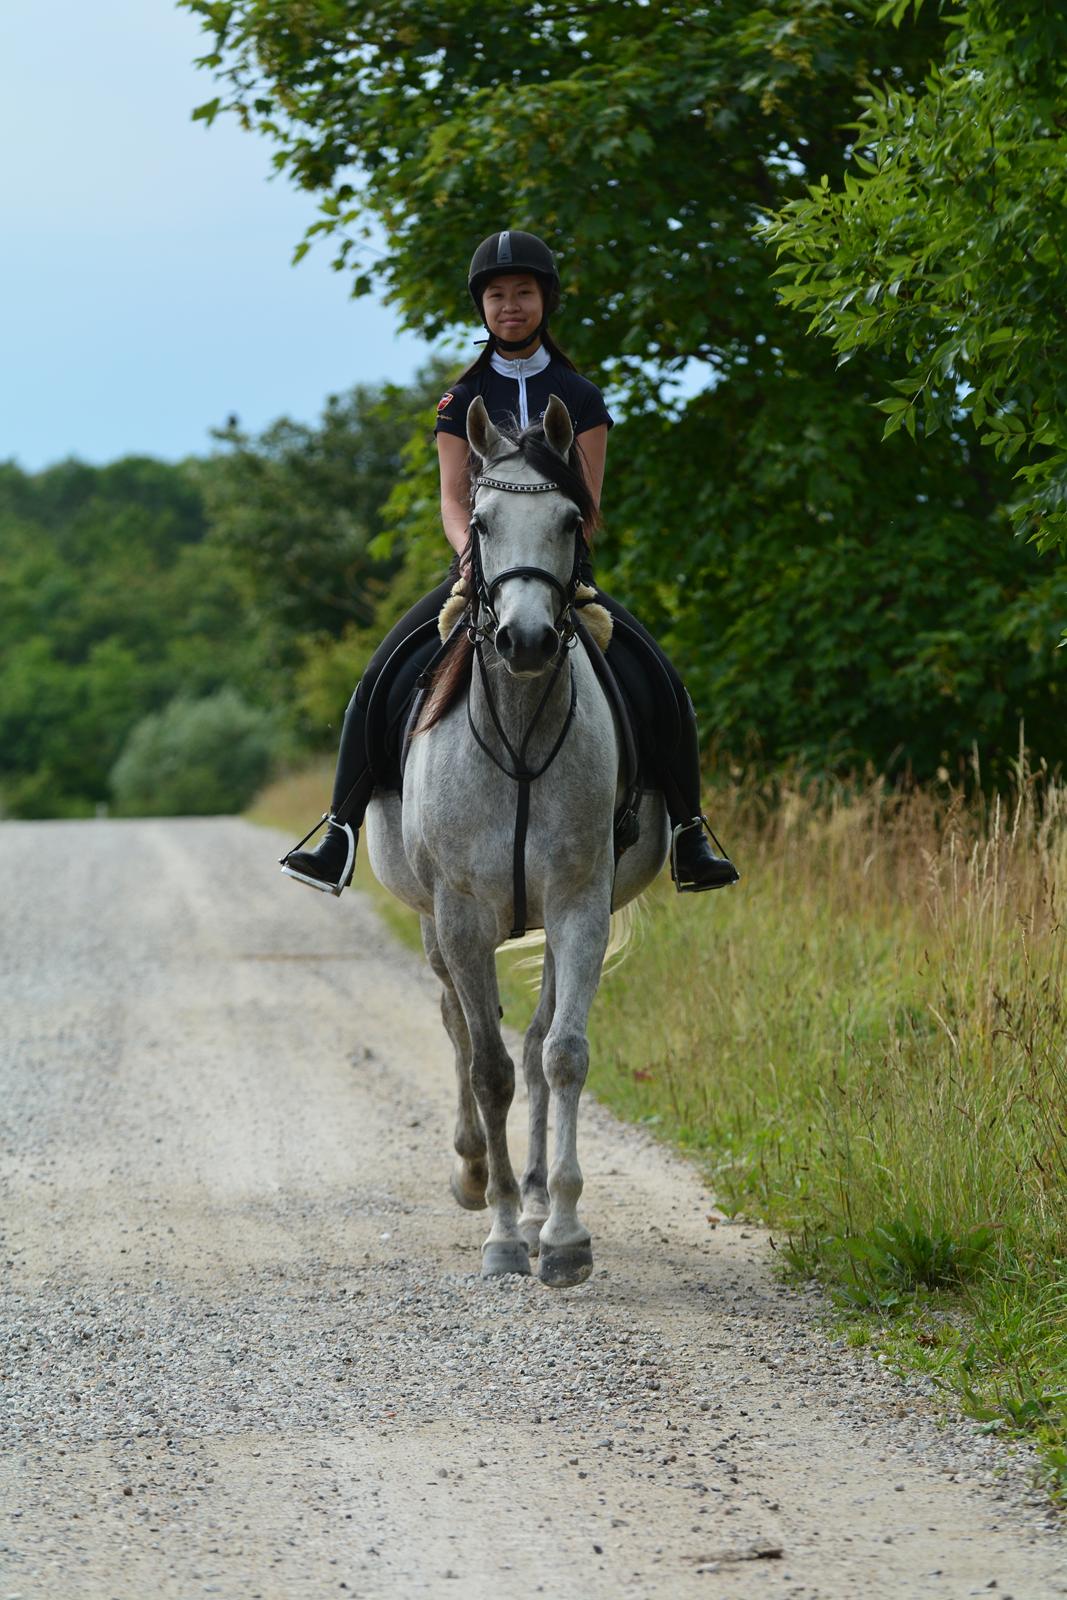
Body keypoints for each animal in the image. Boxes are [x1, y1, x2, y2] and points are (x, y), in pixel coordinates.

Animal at [364, 396, 668, 1286]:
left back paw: (531, 1199)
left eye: (569, 519)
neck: (523, 731)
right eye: (482, 521)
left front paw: (559, 1231)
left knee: (531, 1041)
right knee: (456, 1023)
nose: (526, 641)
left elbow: (558, 1055)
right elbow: (487, 1067)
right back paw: (475, 1175)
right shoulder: (462, 915)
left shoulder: (577, 905)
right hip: (432, 919)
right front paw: (500, 1233)